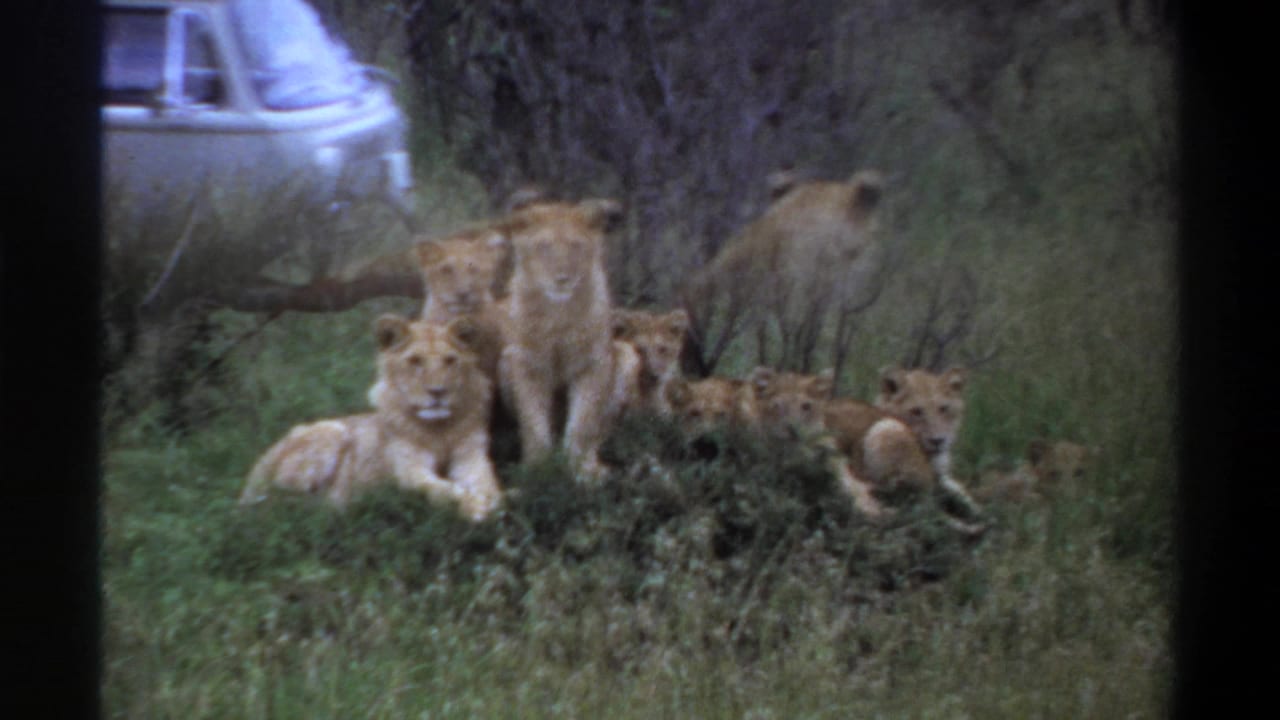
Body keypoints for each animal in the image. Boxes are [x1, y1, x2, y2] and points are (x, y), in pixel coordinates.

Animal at [240, 315, 502, 521]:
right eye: (415, 361)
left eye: (450, 360)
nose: (438, 392)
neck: (440, 429)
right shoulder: (408, 469)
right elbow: (442, 489)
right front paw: (473, 506)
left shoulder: (471, 457)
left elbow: (486, 482)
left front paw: (494, 500)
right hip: (331, 431)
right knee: (278, 504)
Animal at [494, 198, 625, 479]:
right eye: (544, 246)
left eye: (576, 246)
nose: (562, 279)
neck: (558, 315)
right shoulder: (526, 365)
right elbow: (533, 424)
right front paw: (538, 469)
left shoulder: (593, 364)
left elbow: (583, 423)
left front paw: (581, 470)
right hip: (504, 363)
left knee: (602, 432)